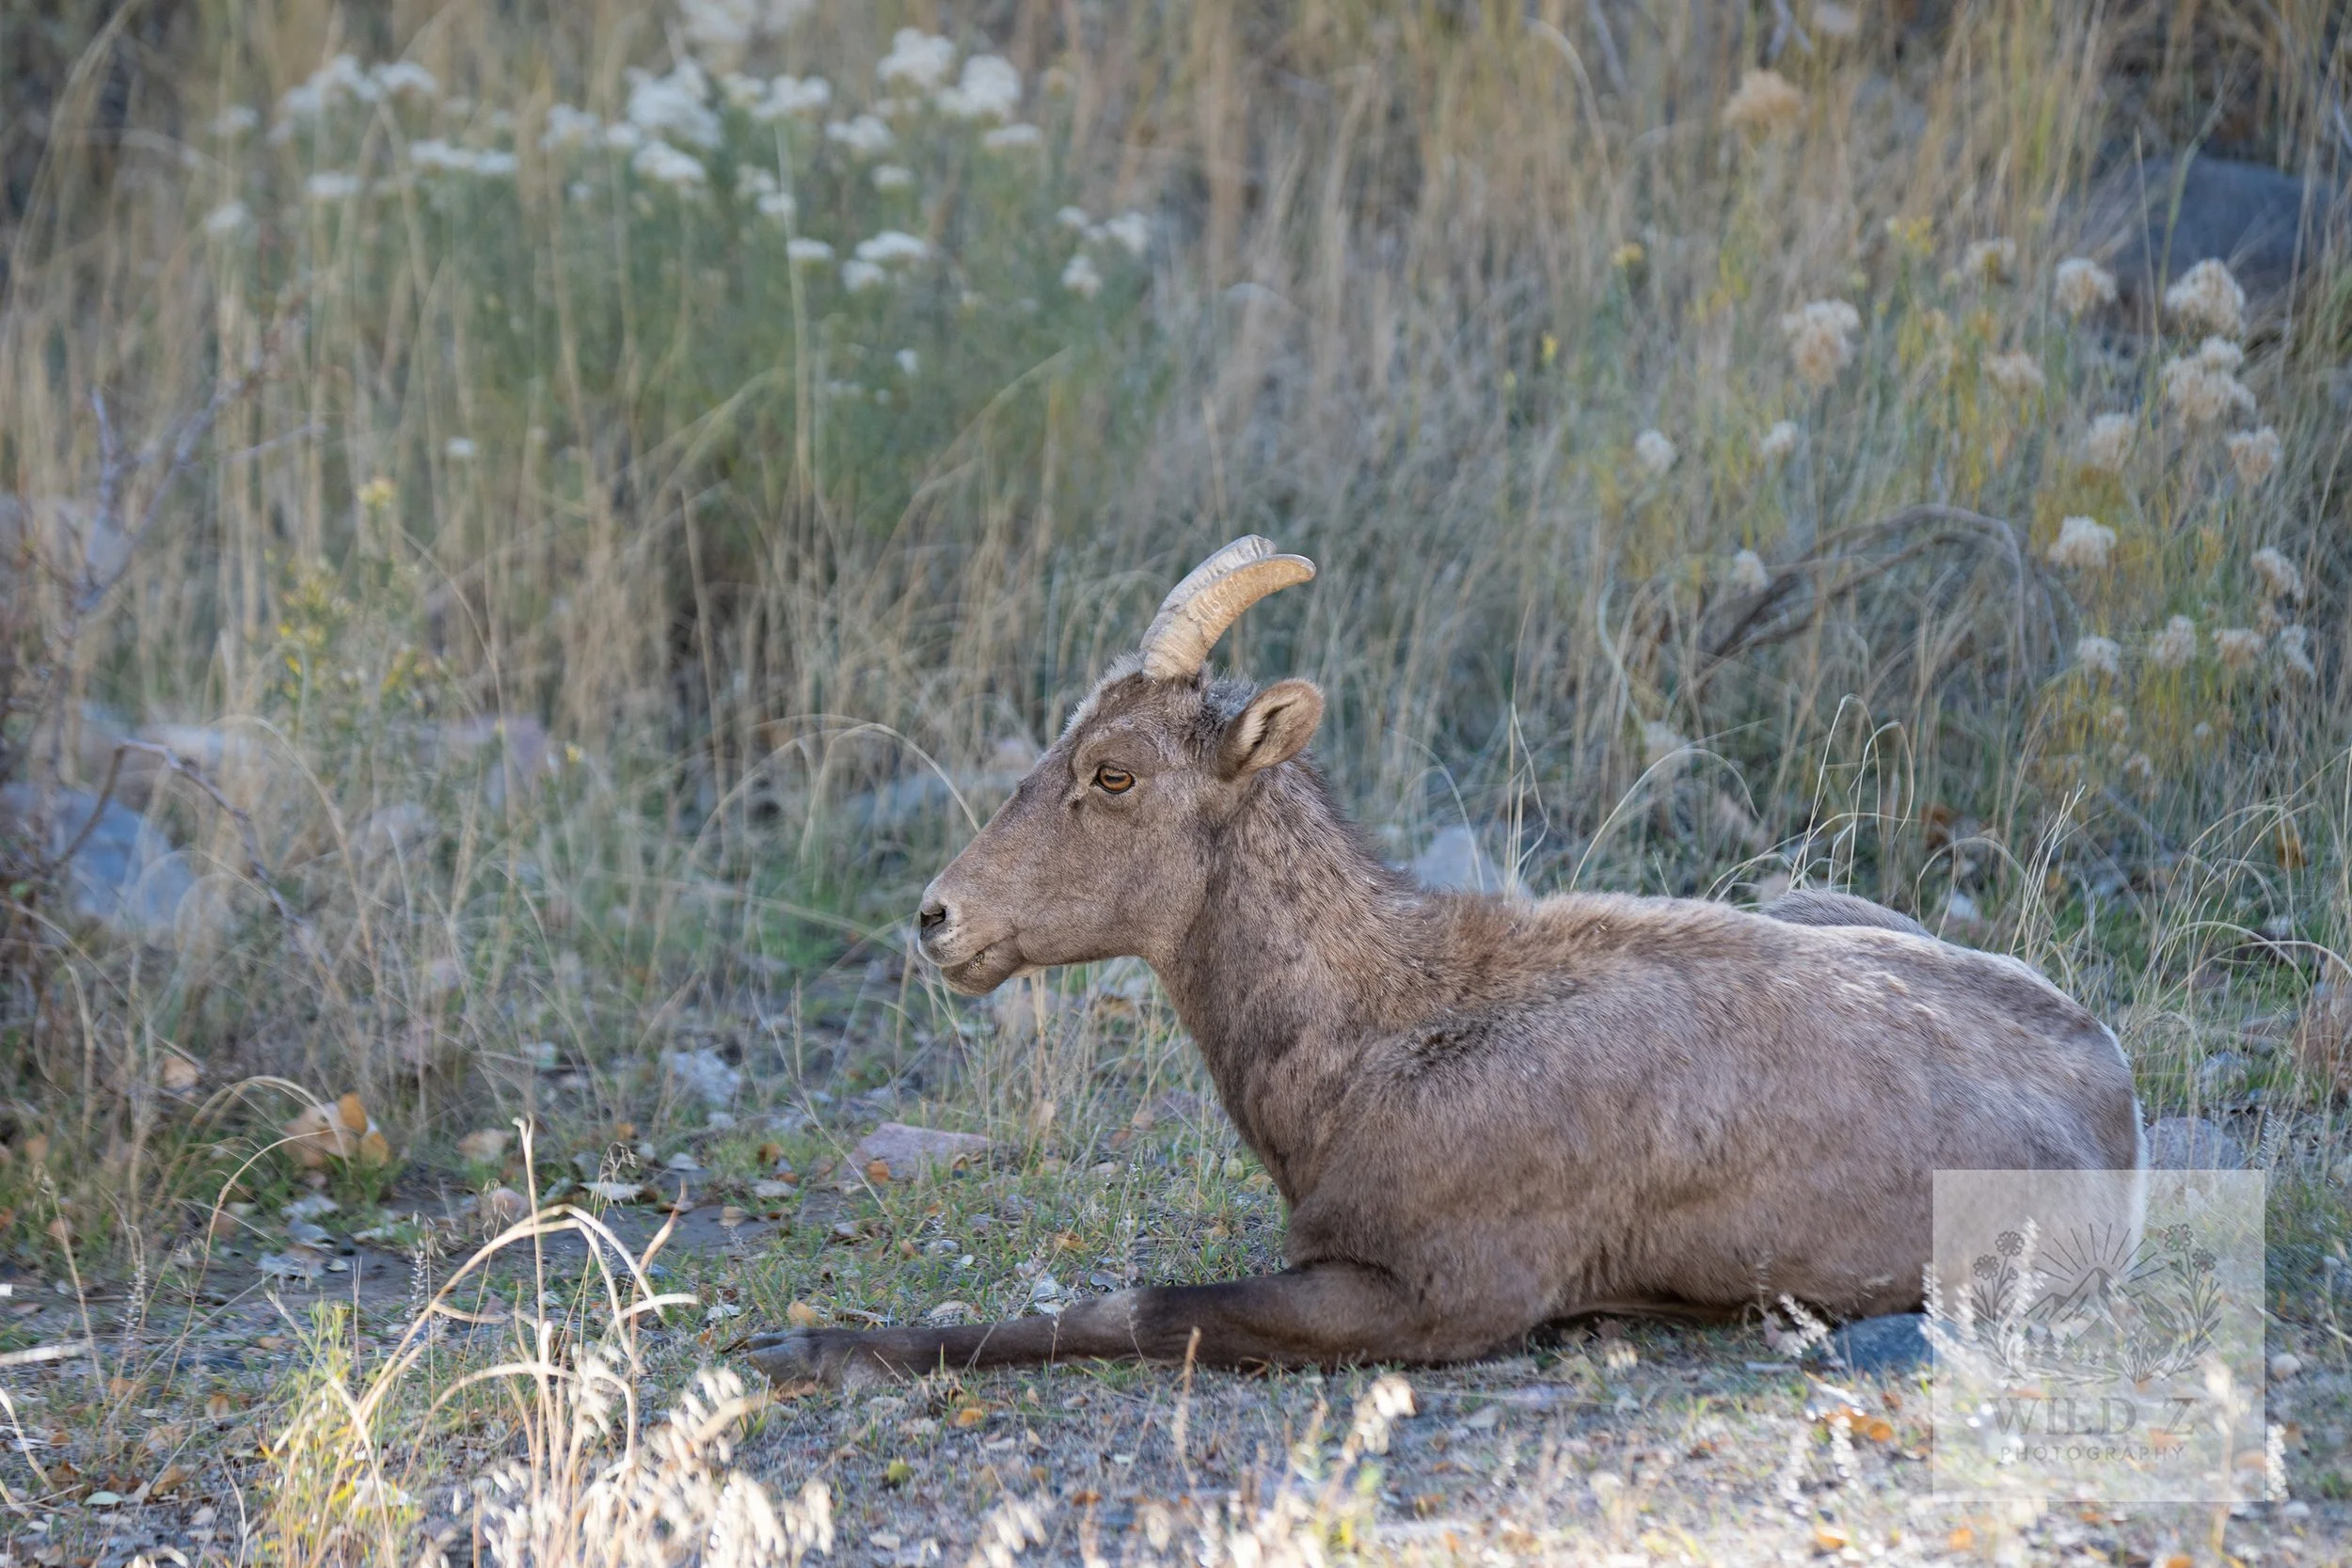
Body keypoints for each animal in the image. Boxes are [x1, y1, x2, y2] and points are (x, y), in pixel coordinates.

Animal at [747, 537, 2143, 1389]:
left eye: (1114, 771)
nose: (939, 918)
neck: (1381, 1035)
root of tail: (2117, 1097)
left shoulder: (1435, 1300)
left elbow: (1138, 1309)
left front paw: (799, 1349)